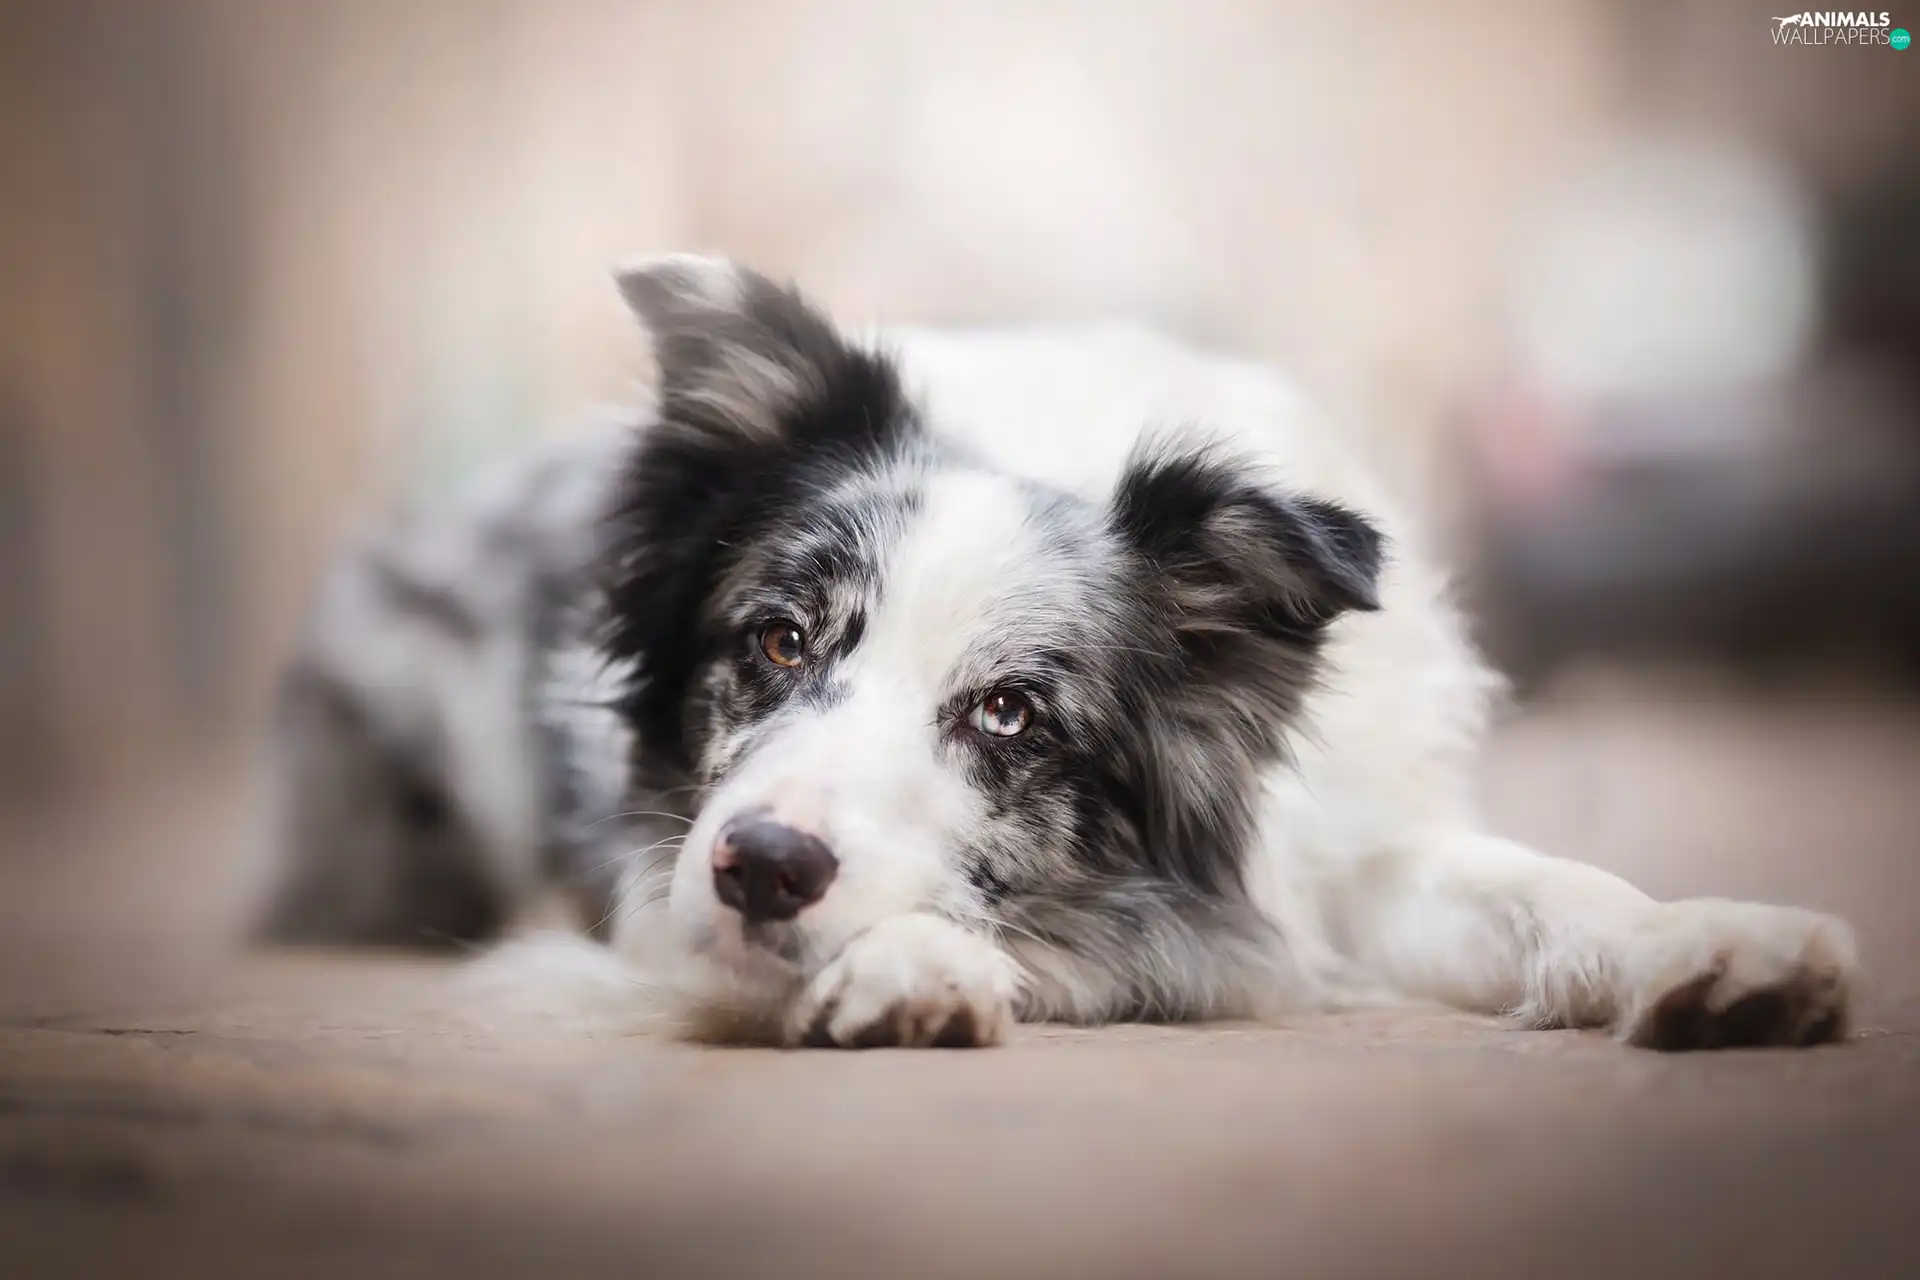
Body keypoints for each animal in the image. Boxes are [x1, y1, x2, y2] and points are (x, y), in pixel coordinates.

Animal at [255, 253, 1858, 1051]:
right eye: (776, 637)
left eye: (1013, 714)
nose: (761, 867)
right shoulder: (658, 896)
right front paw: (916, 964)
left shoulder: (1350, 847)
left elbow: (1544, 887)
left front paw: (1704, 942)